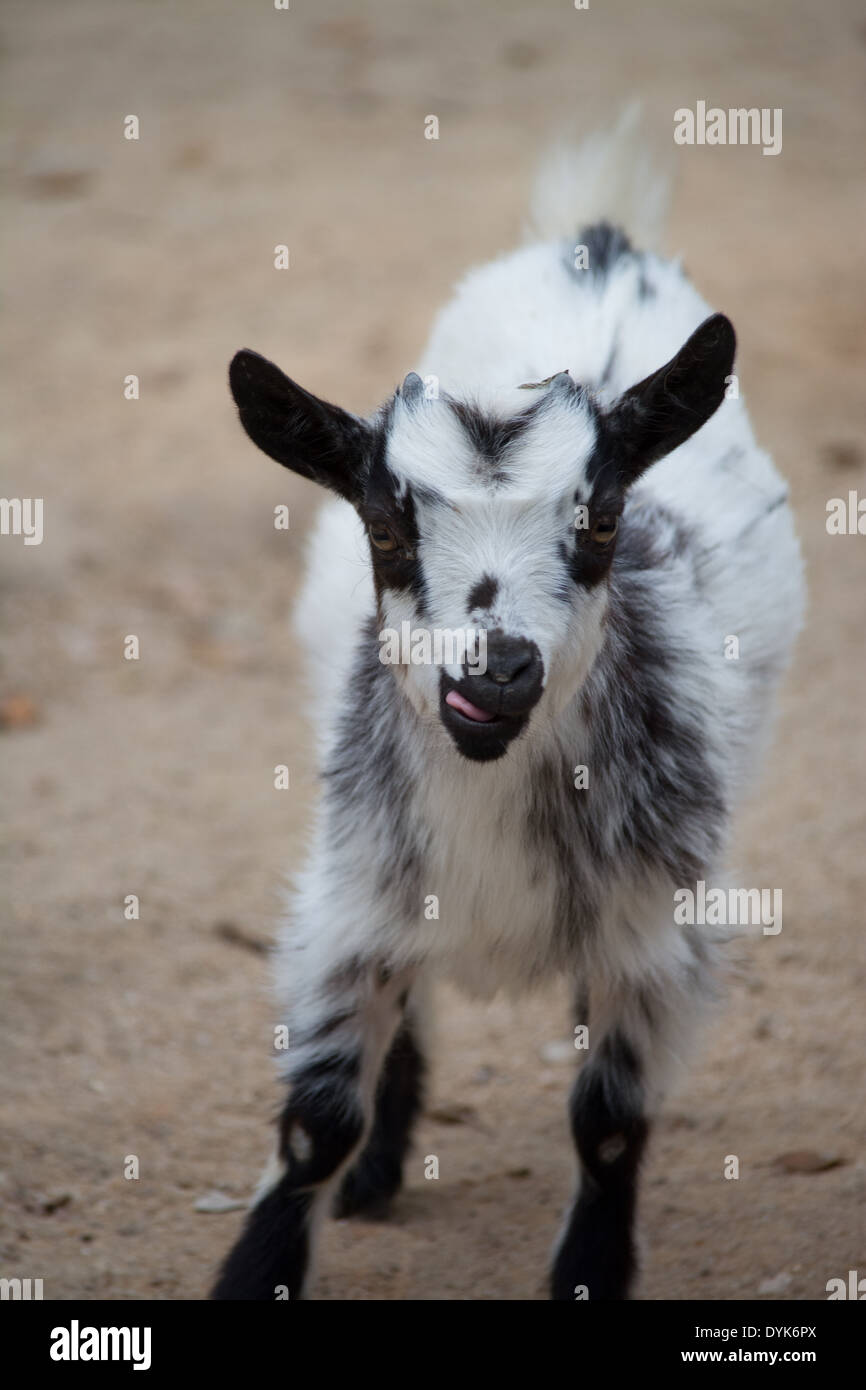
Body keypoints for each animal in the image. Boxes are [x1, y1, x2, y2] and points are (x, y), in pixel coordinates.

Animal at [209, 130, 806, 1301]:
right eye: (385, 527)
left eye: (605, 519)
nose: (496, 673)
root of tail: (599, 241)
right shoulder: (353, 896)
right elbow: (314, 1122)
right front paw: (265, 1263)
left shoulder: (651, 929)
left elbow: (609, 1122)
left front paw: (589, 1273)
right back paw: (380, 1171)